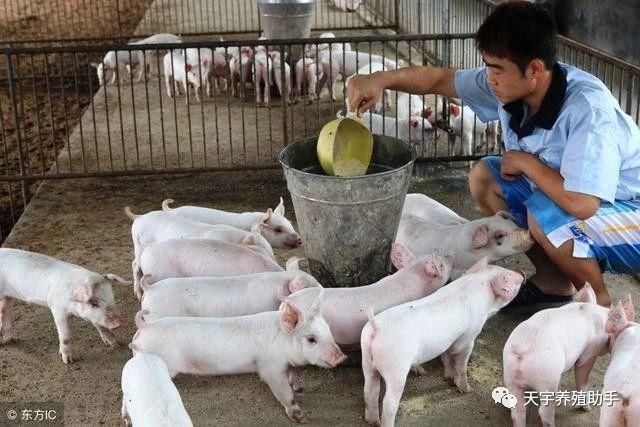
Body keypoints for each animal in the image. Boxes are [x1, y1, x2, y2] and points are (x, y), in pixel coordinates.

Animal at [0, 247, 129, 364]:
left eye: (112, 298)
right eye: (94, 303)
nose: (118, 323)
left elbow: (100, 326)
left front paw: (115, 345)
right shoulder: (57, 309)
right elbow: (65, 335)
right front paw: (69, 361)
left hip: (6, 297)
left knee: (4, 313)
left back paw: (10, 340)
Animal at [132, 292, 348, 422]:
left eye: (329, 331)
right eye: (311, 339)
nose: (341, 357)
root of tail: (146, 326)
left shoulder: (289, 365)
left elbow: (294, 376)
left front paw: (300, 388)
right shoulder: (270, 367)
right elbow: (283, 391)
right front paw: (301, 417)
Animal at [362, 258, 524, 427]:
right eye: (510, 279)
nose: (521, 272)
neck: (477, 281)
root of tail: (376, 327)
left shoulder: (449, 340)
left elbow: (447, 355)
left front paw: (448, 377)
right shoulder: (469, 334)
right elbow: (461, 362)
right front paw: (467, 389)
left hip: (366, 357)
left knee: (369, 391)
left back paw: (372, 421)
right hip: (396, 366)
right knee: (388, 402)